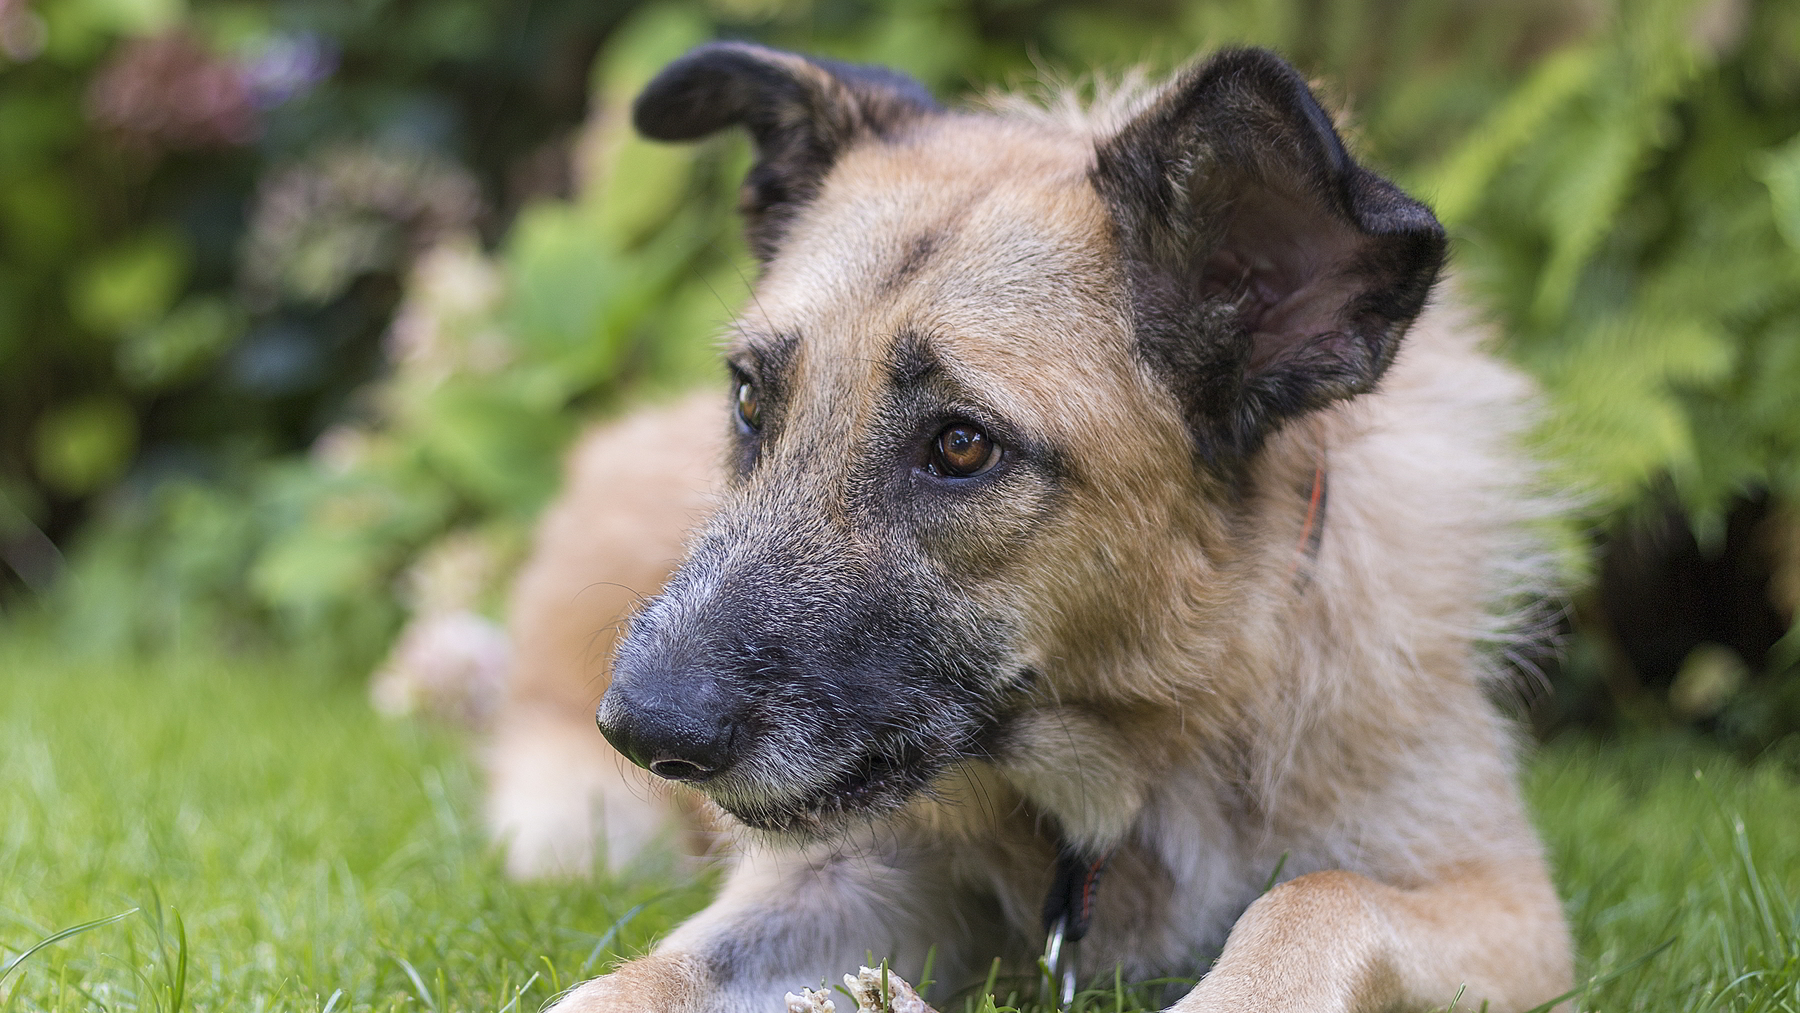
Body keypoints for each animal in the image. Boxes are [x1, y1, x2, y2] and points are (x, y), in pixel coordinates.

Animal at [489, 41, 1576, 1013]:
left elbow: (1317, 900)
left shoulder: (1508, 904)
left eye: (963, 445)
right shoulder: (856, 868)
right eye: (753, 398)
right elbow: (647, 975)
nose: (644, 730)